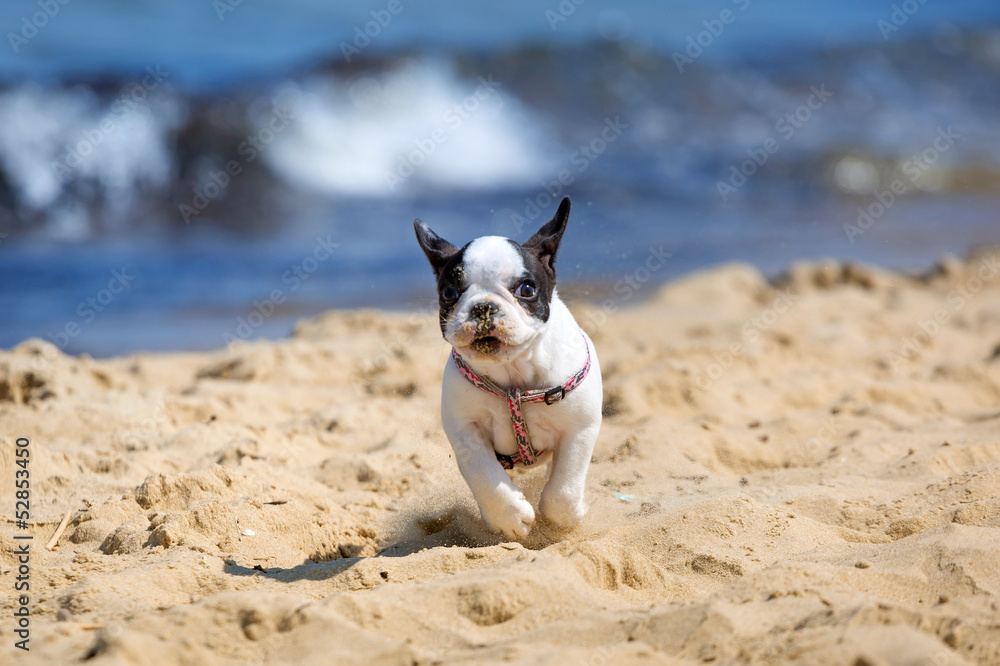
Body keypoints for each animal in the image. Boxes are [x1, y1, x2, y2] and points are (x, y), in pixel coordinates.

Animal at [414, 195, 600, 536]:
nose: (483, 307)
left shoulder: (580, 428)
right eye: (449, 293)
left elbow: (564, 490)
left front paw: (572, 512)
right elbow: (483, 474)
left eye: (526, 289)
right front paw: (509, 516)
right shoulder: (465, 431)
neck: (514, 374)